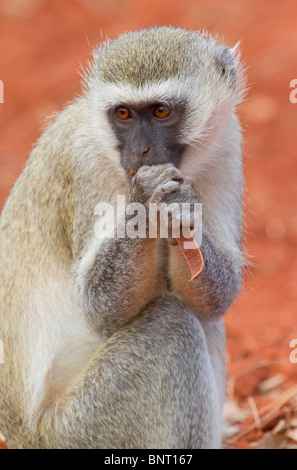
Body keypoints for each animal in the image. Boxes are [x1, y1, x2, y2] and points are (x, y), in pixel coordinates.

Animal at [0, 26, 244, 448]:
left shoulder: (227, 146)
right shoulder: (83, 163)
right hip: (85, 429)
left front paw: (181, 210)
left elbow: (216, 297)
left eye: (161, 111)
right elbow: (100, 309)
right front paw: (146, 198)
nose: (140, 151)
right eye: (124, 114)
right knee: (173, 326)